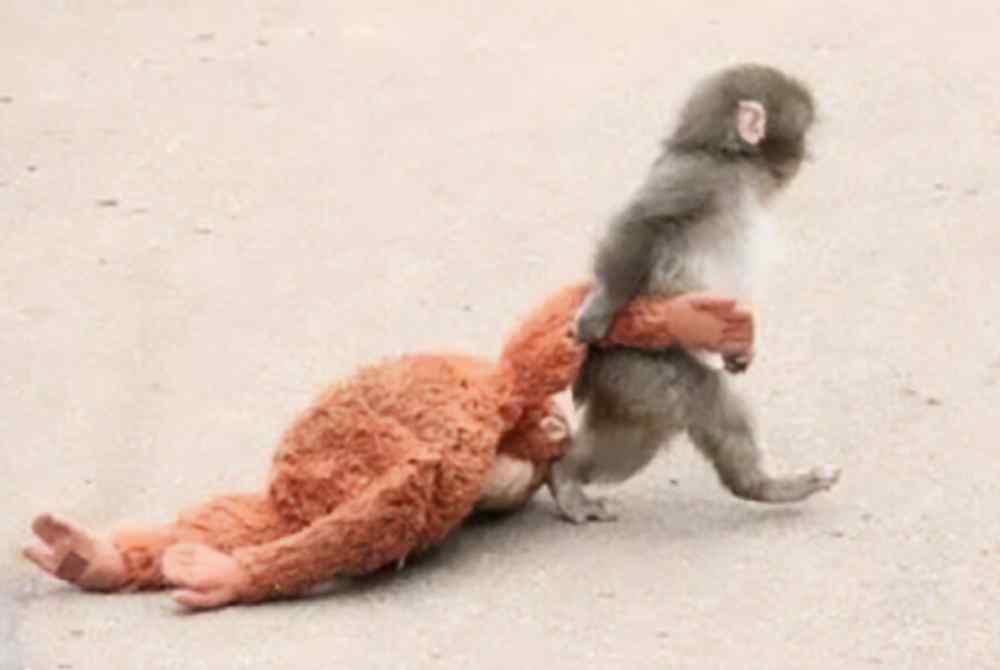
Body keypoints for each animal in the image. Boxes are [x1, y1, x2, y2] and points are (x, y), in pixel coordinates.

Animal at [548, 63, 841, 523]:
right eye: (803, 132)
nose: (805, 156)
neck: (732, 161)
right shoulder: (696, 178)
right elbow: (642, 223)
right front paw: (600, 308)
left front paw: (741, 351)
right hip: (640, 368)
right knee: (659, 421)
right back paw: (565, 476)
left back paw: (765, 486)